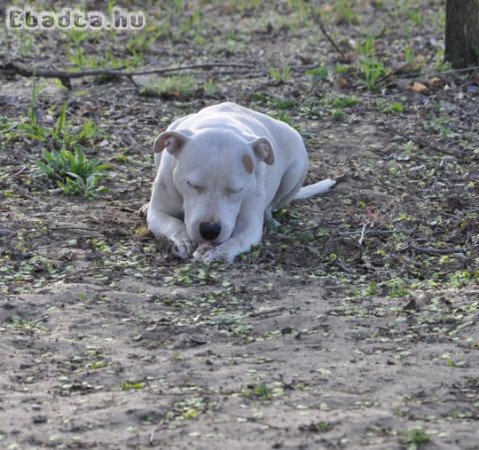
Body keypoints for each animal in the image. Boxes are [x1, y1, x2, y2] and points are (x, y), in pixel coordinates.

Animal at [142, 102, 334, 262]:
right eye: (192, 185)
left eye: (236, 190)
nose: (209, 230)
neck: (220, 124)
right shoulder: (158, 212)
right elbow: (173, 223)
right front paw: (182, 240)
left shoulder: (250, 226)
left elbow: (238, 240)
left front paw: (220, 252)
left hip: (296, 169)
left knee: (273, 204)